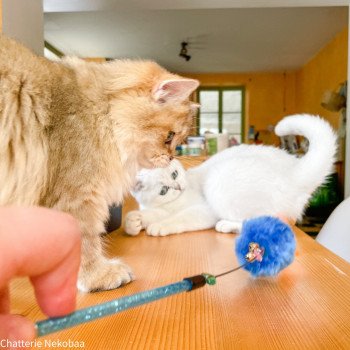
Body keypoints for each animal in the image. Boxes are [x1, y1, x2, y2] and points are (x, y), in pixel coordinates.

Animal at [0, 35, 198, 292]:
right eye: (169, 137)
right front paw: (98, 276)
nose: (171, 157)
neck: (100, 113)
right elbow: (86, 242)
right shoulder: (75, 196)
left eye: (177, 139)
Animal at [125, 114, 336, 235]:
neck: (172, 203)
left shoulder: (203, 210)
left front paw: (159, 227)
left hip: (218, 183)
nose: (179, 187)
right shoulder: (160, 208)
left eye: (175, 174)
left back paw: (226, 225)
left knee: (264, 222)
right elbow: (151, 214)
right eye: (164, 190)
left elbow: (178, 219)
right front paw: (134, 222)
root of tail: (295, 172)